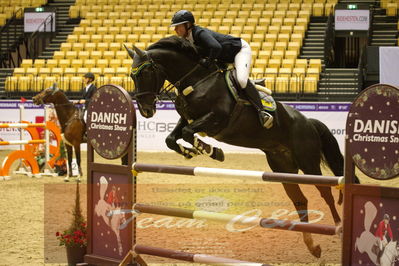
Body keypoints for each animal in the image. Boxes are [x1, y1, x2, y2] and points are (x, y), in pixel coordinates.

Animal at [124, 36, 346, 258]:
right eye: (132, 75)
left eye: (145, 72)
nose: (145, 110)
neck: (195, 81)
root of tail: (308, 121)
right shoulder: (187, 119)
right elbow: (171, 139)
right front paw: (190, 151)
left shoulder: (217, 118)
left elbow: (187, 133)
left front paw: (213, 151)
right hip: (283, 169)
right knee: (300, 200)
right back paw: (312, 245)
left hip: (308, 164)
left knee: (326, 193)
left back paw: (338, 227)